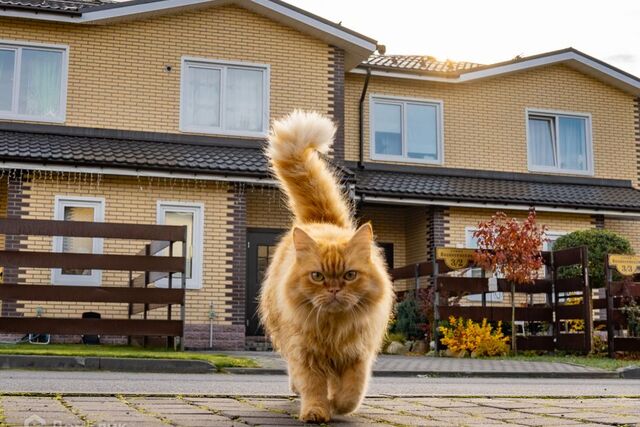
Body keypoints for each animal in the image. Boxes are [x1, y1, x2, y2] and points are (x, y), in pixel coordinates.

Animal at [258, 110, 392, 424]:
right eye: (317, 276)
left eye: (349, 275)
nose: (333, 290)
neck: (333, 329)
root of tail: (320, 221)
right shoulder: (305, 353)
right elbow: (313, 387)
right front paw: (317, 412)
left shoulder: (358, 354)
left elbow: (351, 393)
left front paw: (336, 406)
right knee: (295, 375)